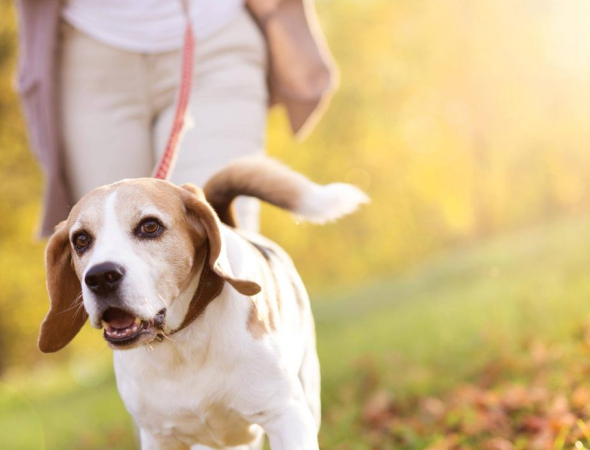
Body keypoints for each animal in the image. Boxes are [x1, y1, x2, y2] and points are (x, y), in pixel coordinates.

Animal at [38, 156, 370, 448]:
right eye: (81, 240)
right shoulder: (159, 438)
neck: (183, 345)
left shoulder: (286, 417)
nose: (100, 277)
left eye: (150, 226)